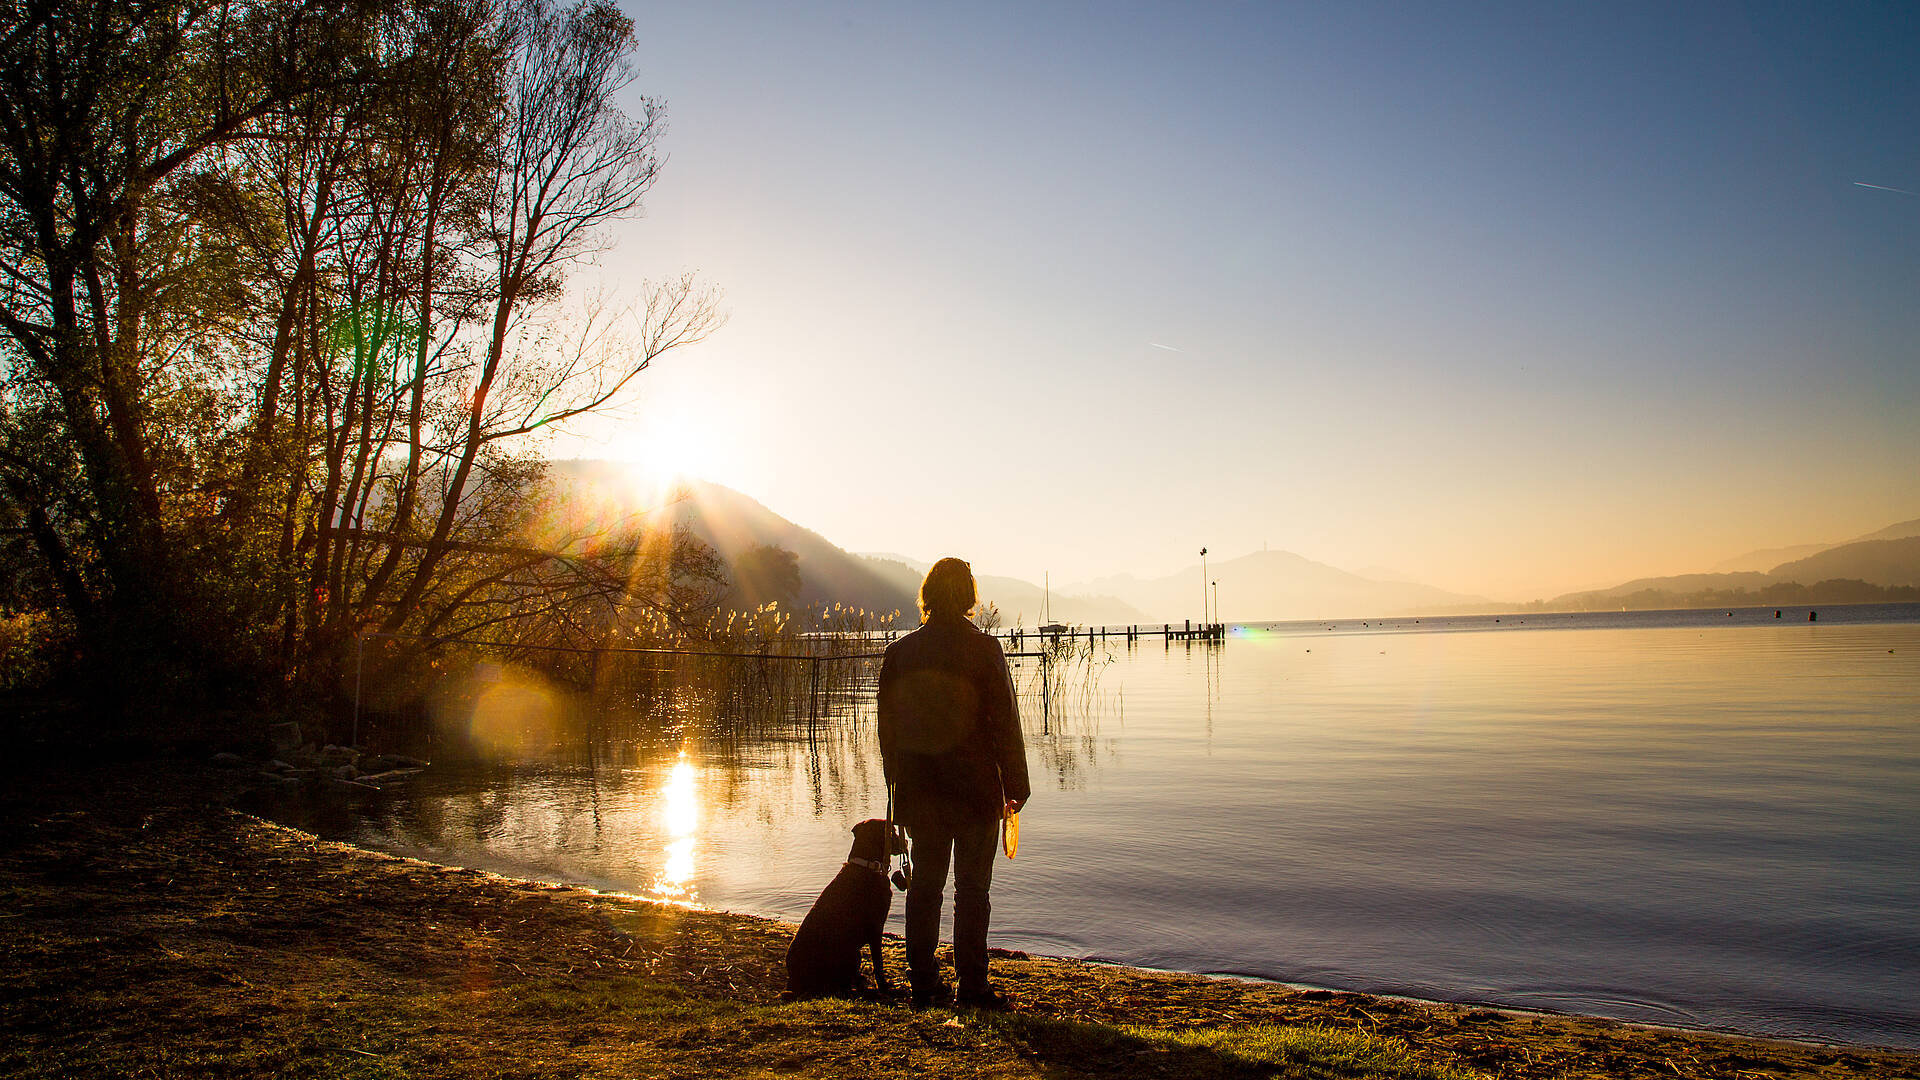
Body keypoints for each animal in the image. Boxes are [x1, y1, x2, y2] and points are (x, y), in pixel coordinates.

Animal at [783, 818, 902, 999]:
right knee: (840, 984)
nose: (905, 841)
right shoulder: (875, 927)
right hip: (852, 953)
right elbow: (878, 963)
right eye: (893, 831)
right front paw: (884, 987)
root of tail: (794, 981)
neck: (866, 866)